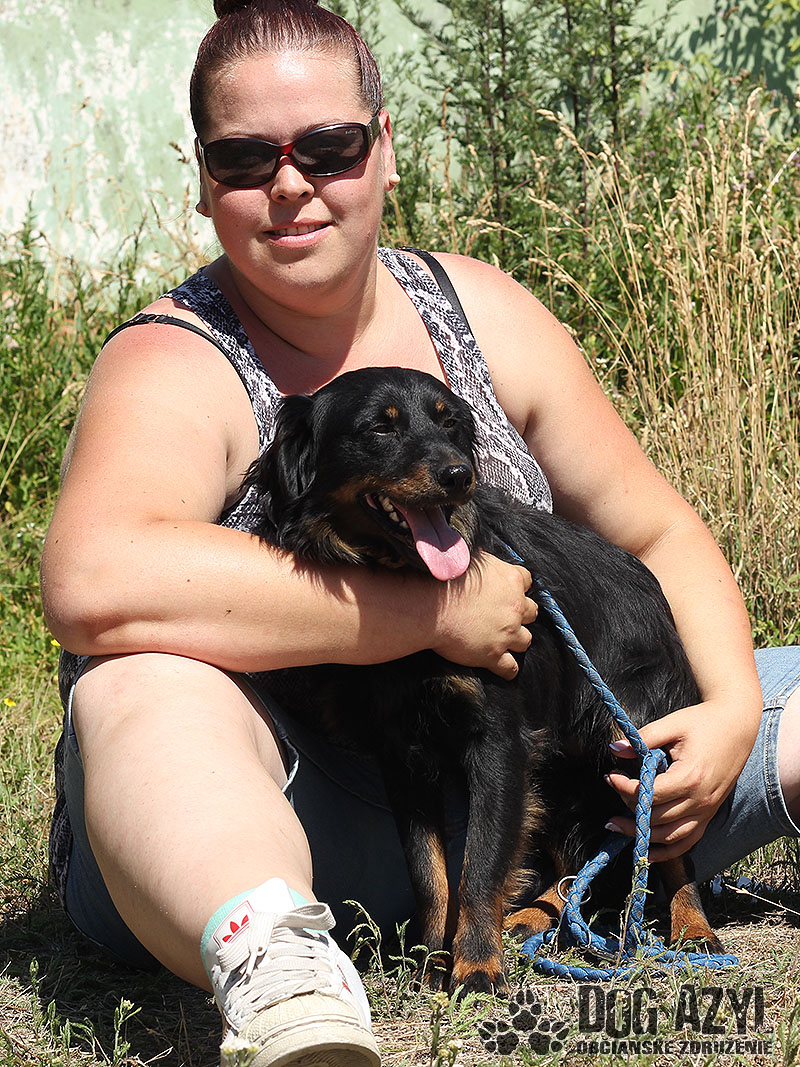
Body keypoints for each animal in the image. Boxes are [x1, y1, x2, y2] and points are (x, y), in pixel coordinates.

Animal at [245, 365, 723, 993]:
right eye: (380, 428)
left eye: (451, 422)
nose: (459, 475)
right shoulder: (402, 755)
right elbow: (429, 869)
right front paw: (430, 957)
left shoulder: (498, 744)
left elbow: (482, 861)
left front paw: (475, 968)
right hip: (561, 775)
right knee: (577, 867)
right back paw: (533, 918)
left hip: (631, 742)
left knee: (663, 844)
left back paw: (692, 929)